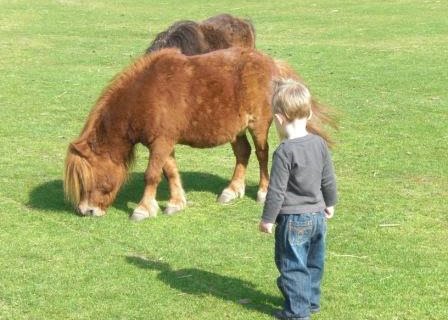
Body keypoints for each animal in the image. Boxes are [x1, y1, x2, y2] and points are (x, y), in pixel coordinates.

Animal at [65, 47, 334, 221]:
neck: (145, 95)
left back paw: (263, 191)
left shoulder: (160, 142)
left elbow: (152, 175)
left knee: (261, 154)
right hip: (235, 130)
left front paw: (143, 208)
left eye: (88, 178)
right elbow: (170, 172)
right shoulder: (164, 143)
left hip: (257, 125)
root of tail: (271, 63)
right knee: (243, 153)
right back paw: (232, 190)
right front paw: (176, 203)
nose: (85, 211)